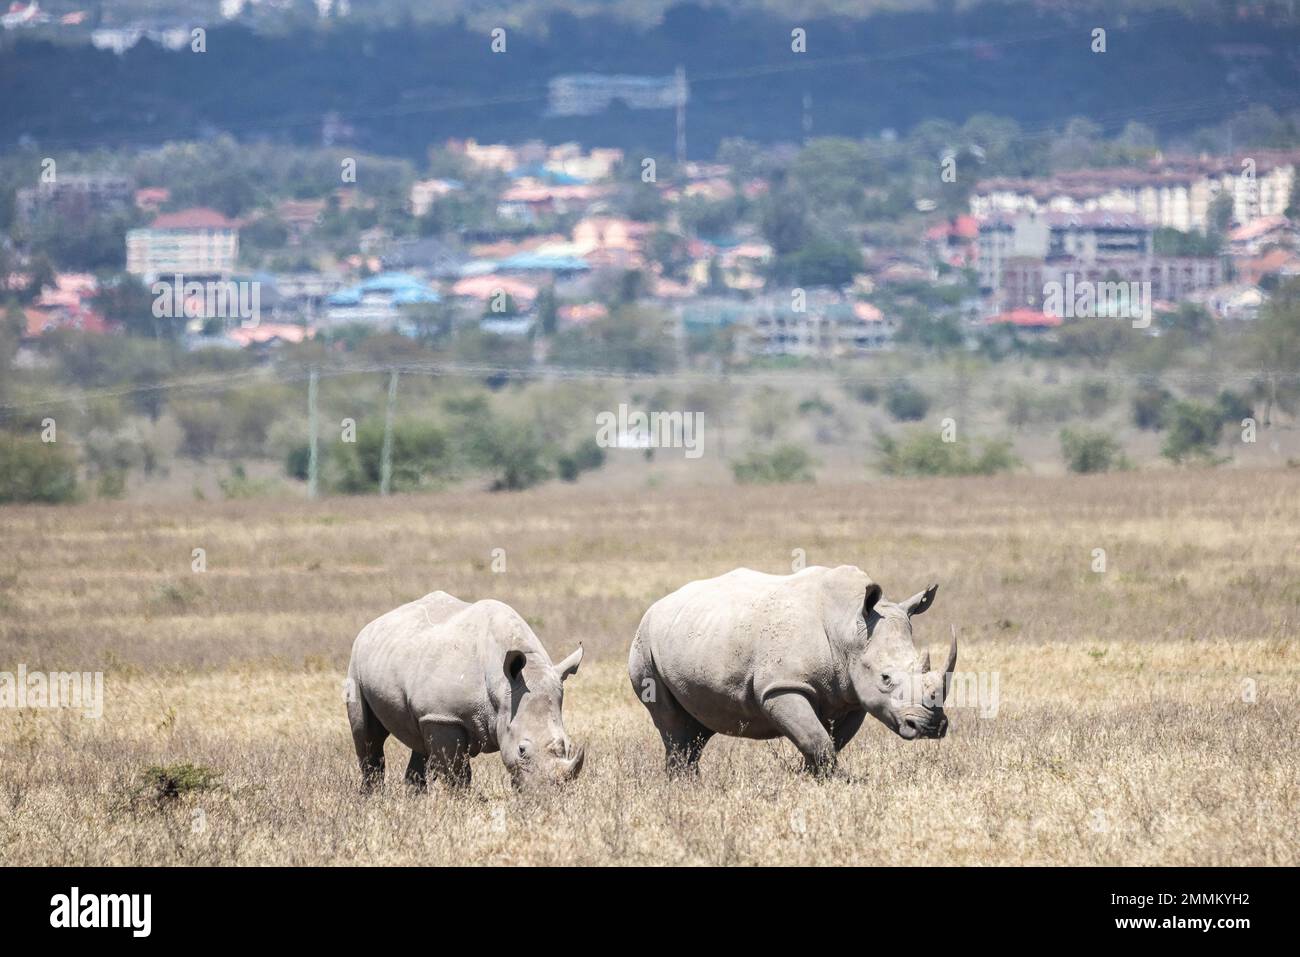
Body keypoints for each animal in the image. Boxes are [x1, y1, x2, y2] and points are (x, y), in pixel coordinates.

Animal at [348, 590, 587, 790]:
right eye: (522, 750)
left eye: (569, 745)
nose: (548, 795)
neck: (502, 689)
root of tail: (372, 624)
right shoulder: (444, 716)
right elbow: (457, 773)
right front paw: (461, 802)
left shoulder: (437, 713)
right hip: (357, 661)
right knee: (367, 736)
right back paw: (373, 797)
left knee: (420, 742)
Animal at [629, 566, 956, 780]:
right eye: (885, 678)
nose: (930, 726)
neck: (848, 627)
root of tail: (656, 606)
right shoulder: (782, 686)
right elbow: (817, 740)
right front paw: (835, 783)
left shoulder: (852, 696)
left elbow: (828, 741)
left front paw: (811, 779)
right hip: (644, 644)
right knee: (672, 724)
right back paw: (684, 788)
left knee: (698, 726)